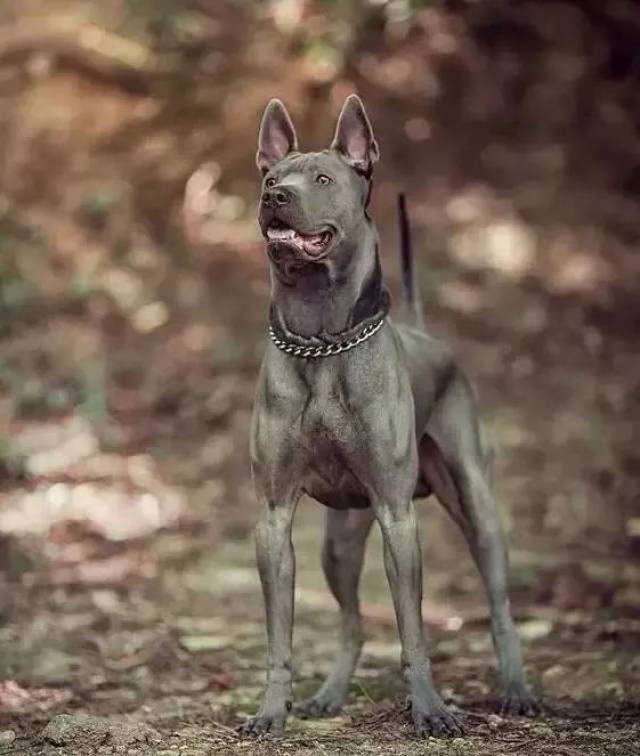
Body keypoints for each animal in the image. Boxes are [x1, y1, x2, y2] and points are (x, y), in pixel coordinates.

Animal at [238, 94, 536, 740]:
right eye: (272, 179)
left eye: (323, 180)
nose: (276, 196)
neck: (322, 339)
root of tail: (426, 331)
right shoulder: (272, 518)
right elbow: (279, 636)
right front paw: (271, 710)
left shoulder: (399, 517)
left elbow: (414, 628)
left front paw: (430, 709)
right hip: (340, 540)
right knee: (351, 621)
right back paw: (329, 695)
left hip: (477, 508)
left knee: (499, 605)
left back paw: (517, 689)